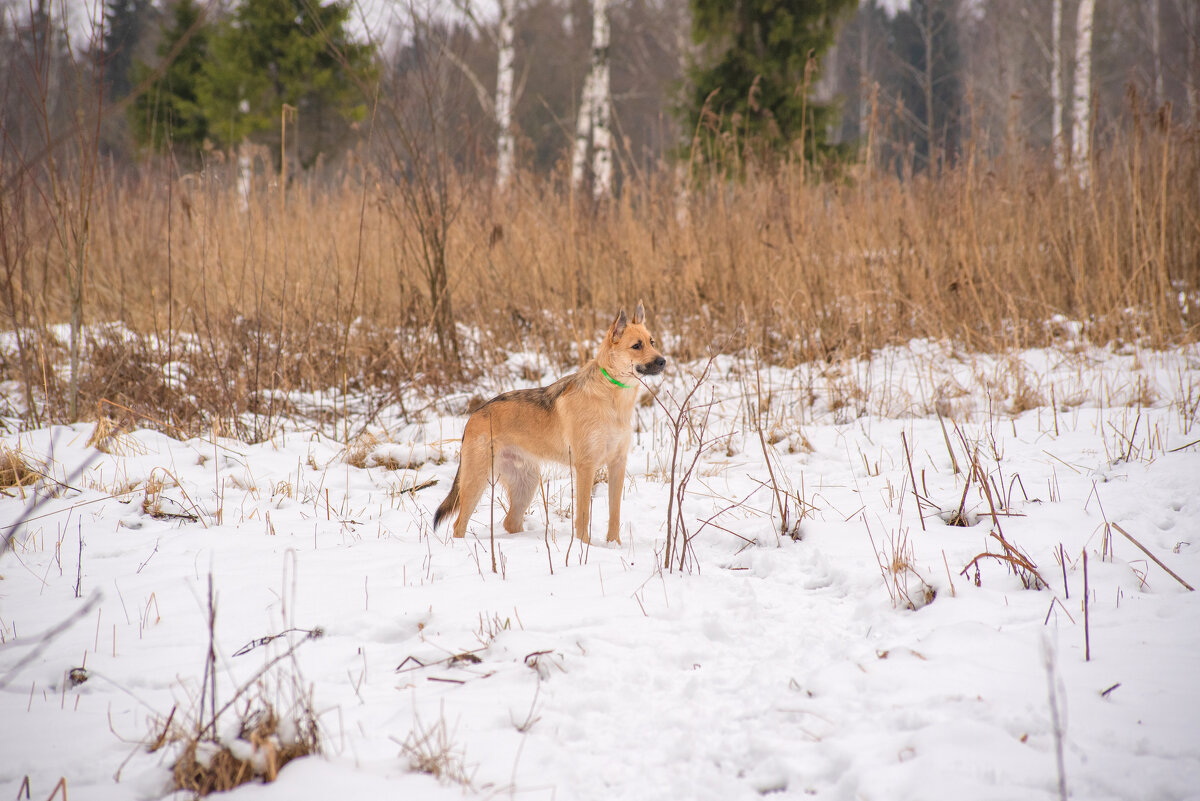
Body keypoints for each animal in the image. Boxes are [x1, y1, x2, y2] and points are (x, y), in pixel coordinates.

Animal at [436, 303, 667, 546]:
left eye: (652, 342)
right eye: (636, 346)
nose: (663, 361)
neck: (612, 395)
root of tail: (473, 416)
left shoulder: (617, 464)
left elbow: (615, 514)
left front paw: (615, 546)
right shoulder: (586, 467)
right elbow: (583, 516)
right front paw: (584, 546)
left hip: (526, 484)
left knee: (510, 522)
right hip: (476, 483)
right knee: (459, 525)